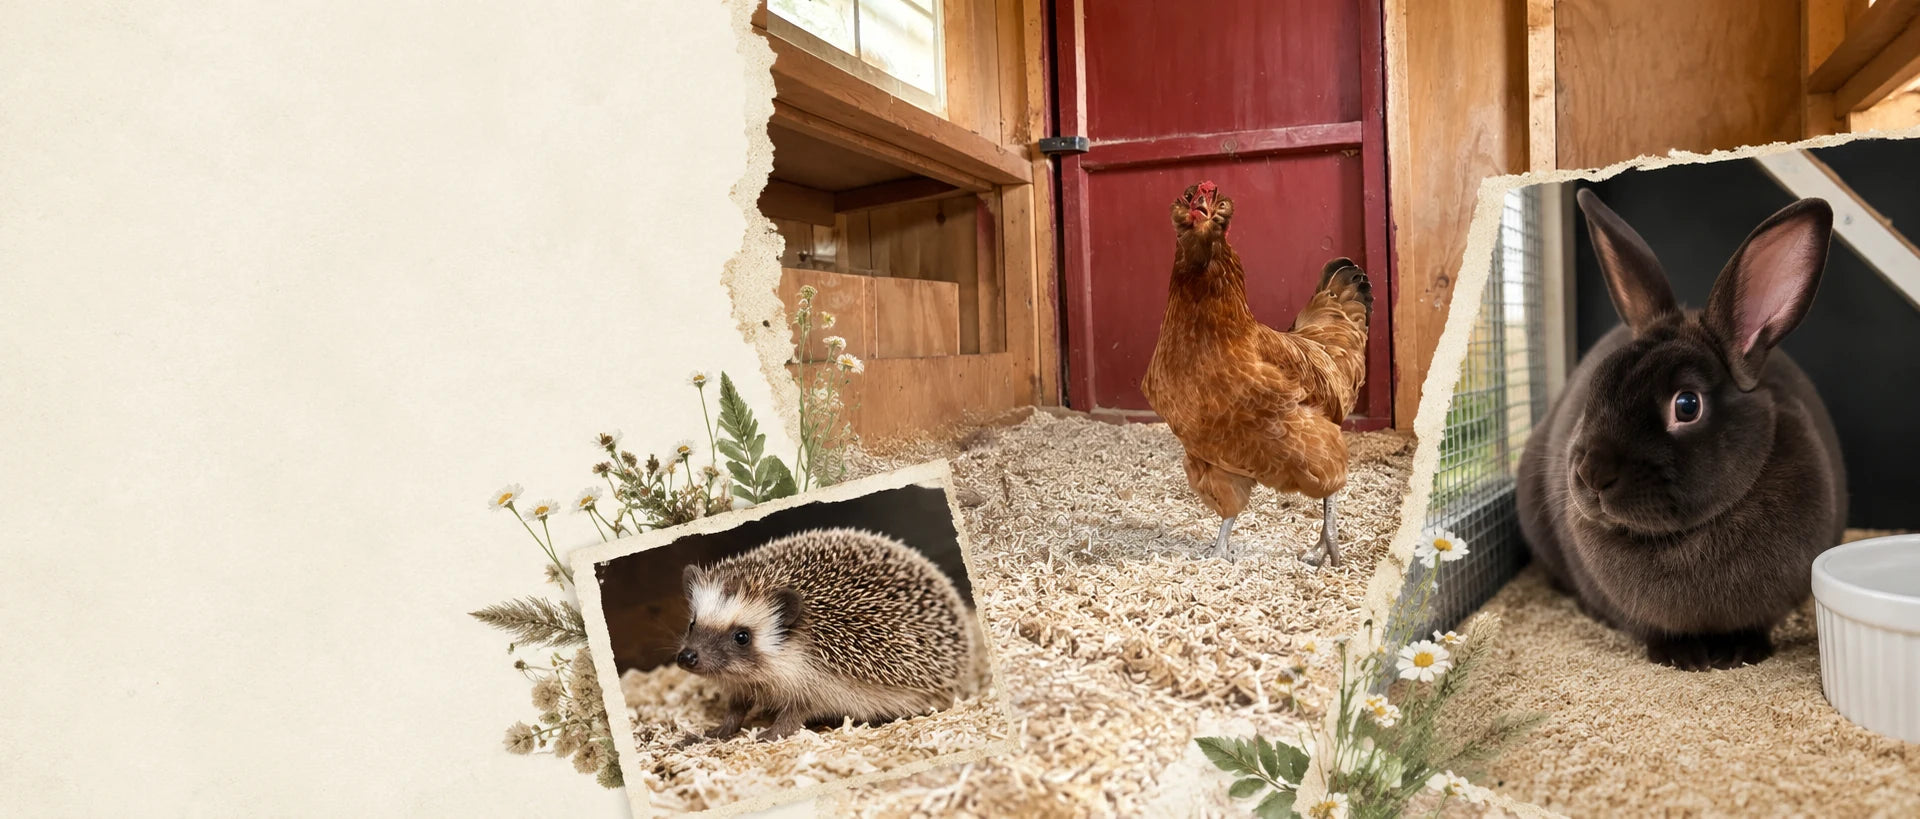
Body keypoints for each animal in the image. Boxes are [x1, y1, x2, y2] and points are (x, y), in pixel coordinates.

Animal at [1515, 188, 1847, 671]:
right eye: (1595, 386)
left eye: (1687, 405)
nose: (1592, 474)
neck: (1688, 535)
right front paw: (1683, 657)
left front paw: (1740, 652)